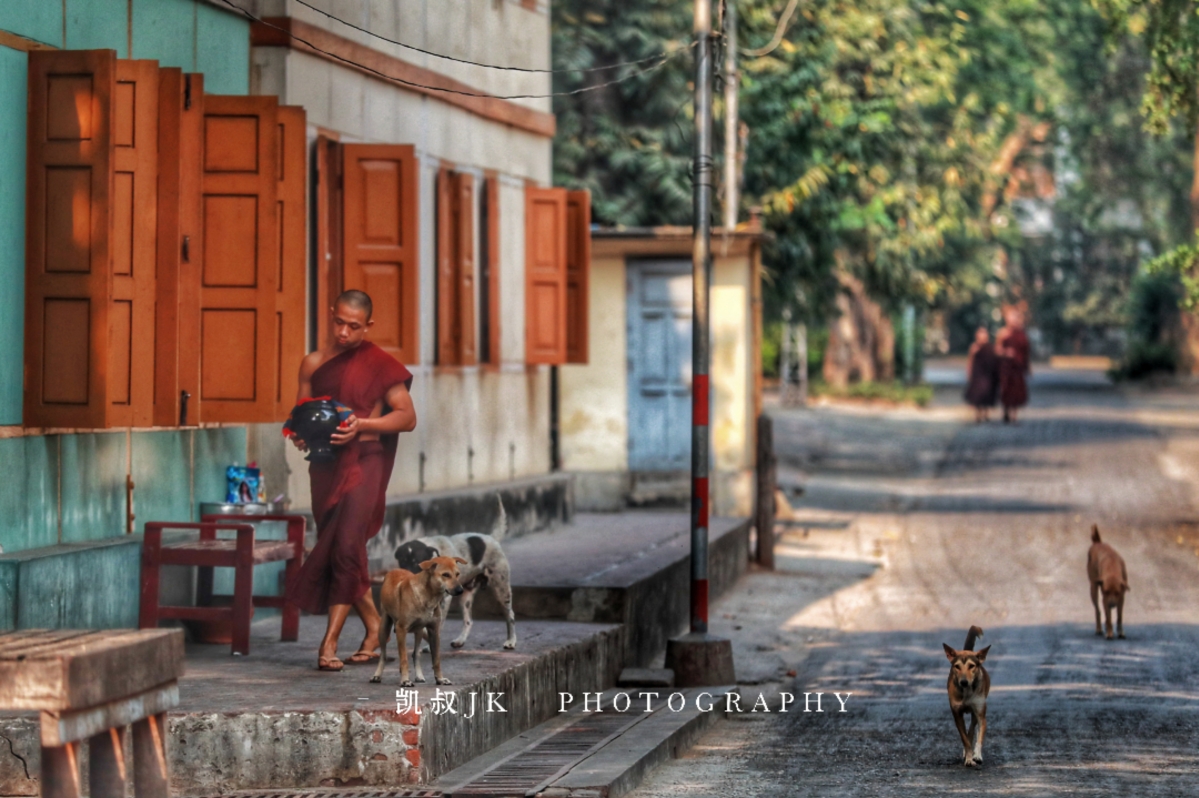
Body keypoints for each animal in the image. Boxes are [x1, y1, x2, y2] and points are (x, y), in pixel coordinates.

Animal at [371, 553, 465, 685]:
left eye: (457, 574)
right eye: (446, 575)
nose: (460, 590)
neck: (429, 597)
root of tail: (393, 570)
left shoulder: (434, 630)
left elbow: (436, 659)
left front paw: (440, 679)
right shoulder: (401, 629)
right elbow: (403, 658)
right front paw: (405, 680)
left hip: (419, 631)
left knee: (416, 654)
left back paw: (419, 676)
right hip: (384, 628)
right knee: (383, 655)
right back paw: (377, 675)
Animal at [393, 493, 515, 651]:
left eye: (416, 563)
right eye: (402, 561)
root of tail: (491, 538)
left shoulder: (445, 599)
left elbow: (437, 624)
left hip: (501, 588)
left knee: (510, 614)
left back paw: (511, 640)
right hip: (466, 596)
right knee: (468, 621)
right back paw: (460, 640)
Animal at [940, 623, 987, 766]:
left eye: (972, 666)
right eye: (957, 666)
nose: (964, 682)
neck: (966, 693)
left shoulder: (980, 713)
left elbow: (979, 737)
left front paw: (977, 755)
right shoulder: (957, 714)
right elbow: (964, 738)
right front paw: (969, 757)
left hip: (975, 712)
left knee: (972, 729)